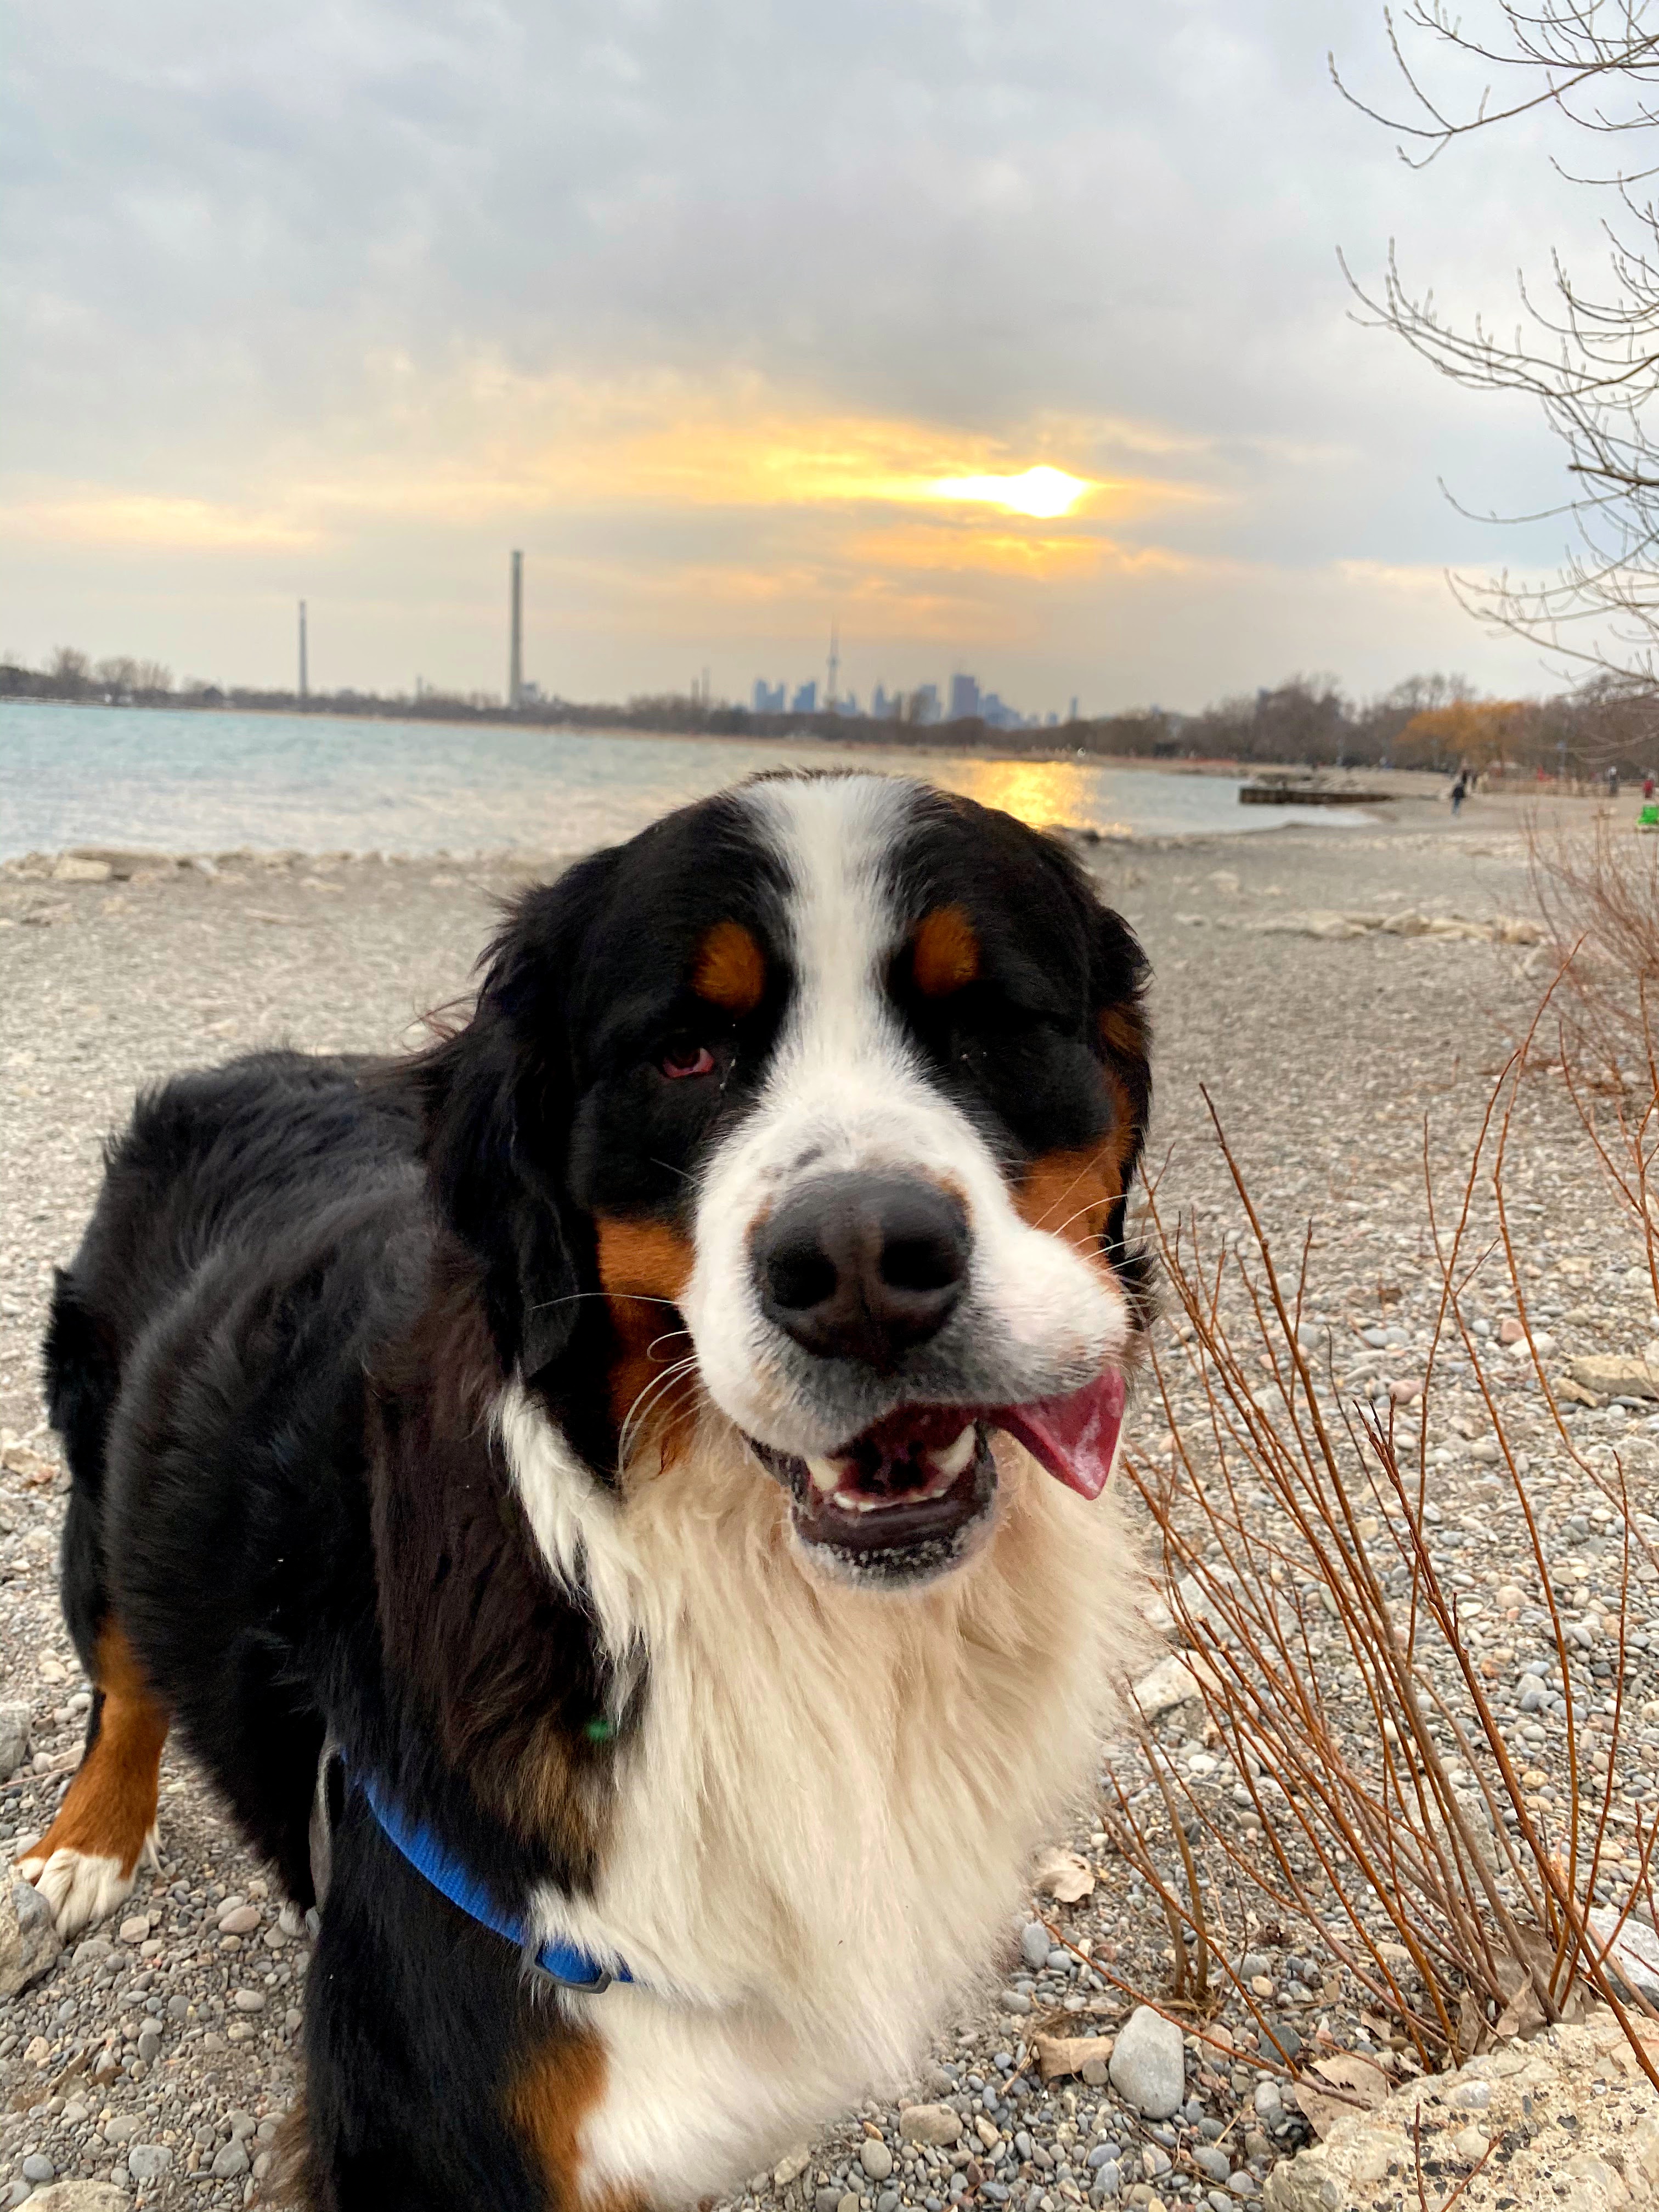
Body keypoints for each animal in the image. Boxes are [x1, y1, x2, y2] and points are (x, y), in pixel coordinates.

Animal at [22, 774, 1159, 2212]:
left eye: (992, 1025)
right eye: (684, 1055)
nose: (860, 1265)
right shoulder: (430, 2117)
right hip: (101, 1476)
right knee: (122, 1676)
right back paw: (82, 1847)